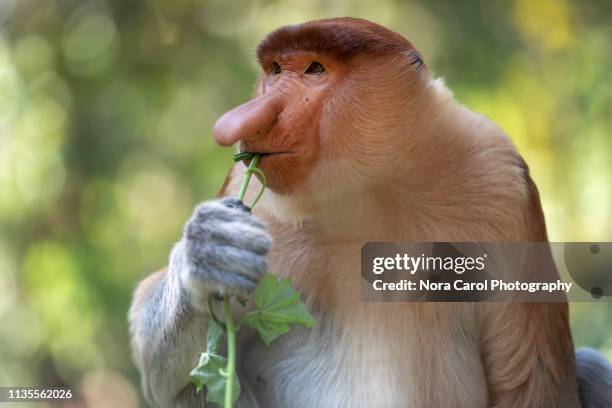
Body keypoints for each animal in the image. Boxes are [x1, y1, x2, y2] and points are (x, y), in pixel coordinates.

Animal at [130, 18, 596, 408]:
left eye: (315, 69)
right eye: (275, 70)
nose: (238, 123)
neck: (369, 191)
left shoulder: (499, 179)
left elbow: (530, 380)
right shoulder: (251, 194)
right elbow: (161, 373)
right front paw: (209, 249)